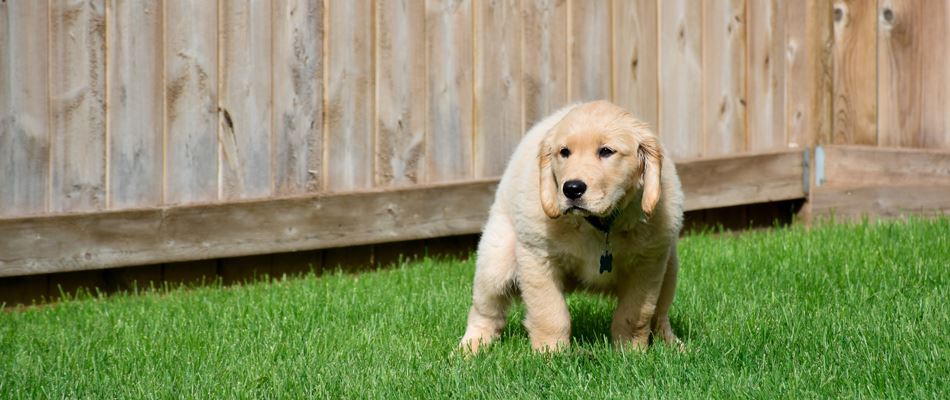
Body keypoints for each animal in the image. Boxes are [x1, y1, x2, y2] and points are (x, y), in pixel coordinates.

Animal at [462, 100, 684, 354]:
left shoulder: (648, 264)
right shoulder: (537, 257)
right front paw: (550, 353)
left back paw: (672, 345)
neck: (598, 225)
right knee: (485, 311)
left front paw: (631, 352)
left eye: (606, 151)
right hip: (495, 262)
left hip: (670, 268)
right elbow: (550, 314)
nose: (572, 189)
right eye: (564, 152)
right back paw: (470, 349)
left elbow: (635, 315)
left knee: (660, 315)